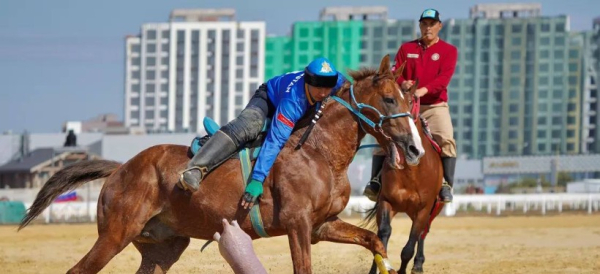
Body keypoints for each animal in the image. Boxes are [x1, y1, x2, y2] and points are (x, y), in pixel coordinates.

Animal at [19, 56, 422, 274]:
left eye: (409, 99)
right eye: (389, 99)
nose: (415, 148)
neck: (320, 153)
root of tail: (120, 168)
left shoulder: (322, 225)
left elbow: (374, 240)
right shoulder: (299, 225)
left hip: (164, 246)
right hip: (115, 234)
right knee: (78, 269)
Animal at [360, 90, 446, 274]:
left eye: (410, 102)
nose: (413, 148)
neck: (411, 172)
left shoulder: (424, 209)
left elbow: (409, 247)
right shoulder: (386, 202)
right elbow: (382, 236)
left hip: (433, 209)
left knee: (422, 233)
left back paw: (418, 264)